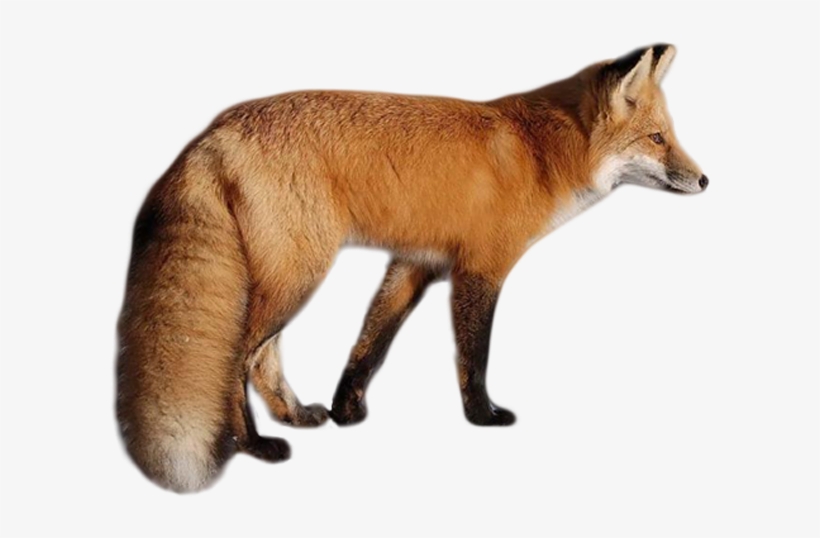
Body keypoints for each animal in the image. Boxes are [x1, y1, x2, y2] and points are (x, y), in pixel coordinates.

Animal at [116, 44, 707, 492]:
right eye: (657, 139)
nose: (705, 180)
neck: (541, 156)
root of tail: (215, 129)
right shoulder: (481, 268)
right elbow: (474, 356)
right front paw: (483, 416)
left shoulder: (416, 264)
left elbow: (369, 344)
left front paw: (346, 410)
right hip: (298, 273)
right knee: (240, 356)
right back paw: (255, 445)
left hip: (288, 274)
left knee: (262, 359)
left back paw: (296, 416)